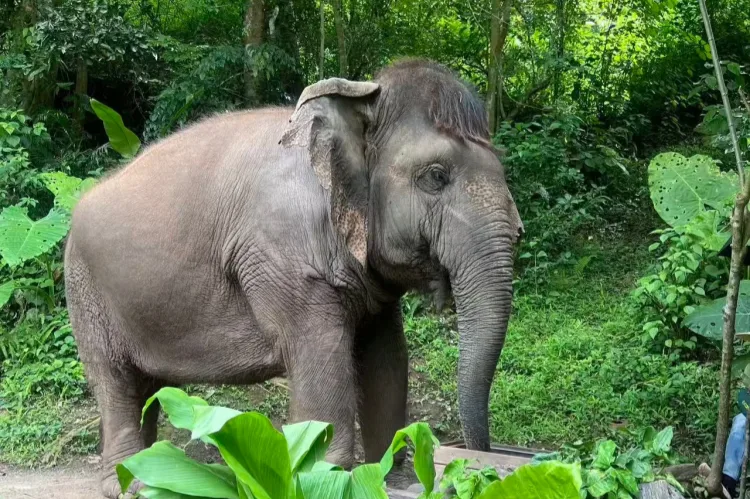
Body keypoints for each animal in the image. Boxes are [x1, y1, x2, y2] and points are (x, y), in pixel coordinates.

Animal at [64, 58, 523, 498]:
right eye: (435, 176)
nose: (477, 464)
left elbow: (387, 356)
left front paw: (394, 477)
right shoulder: (282, 259)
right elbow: (320, 348)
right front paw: (328, 477)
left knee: (148, 388)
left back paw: (152, 470)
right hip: (85, 295)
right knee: (116, 383)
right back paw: (129, 485)